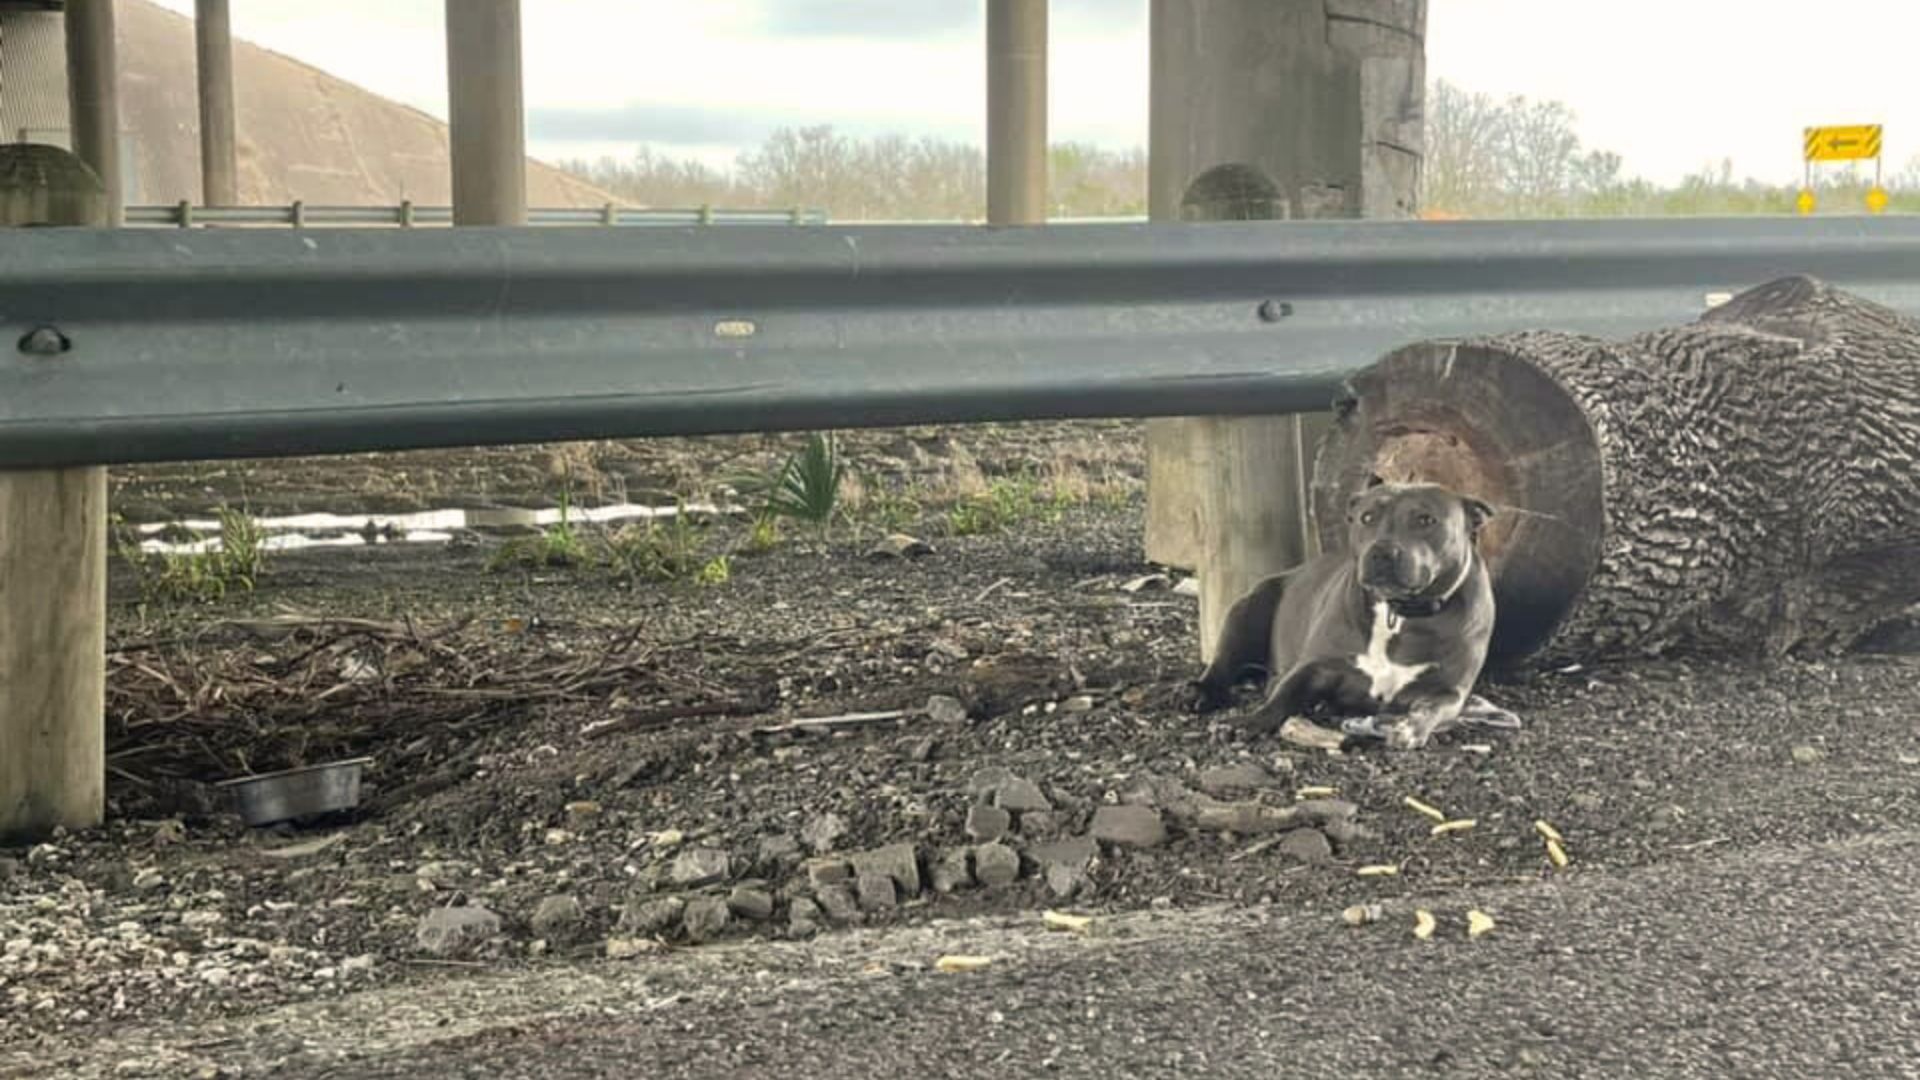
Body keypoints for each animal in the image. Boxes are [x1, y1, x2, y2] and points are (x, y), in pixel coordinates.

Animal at [1182, 478, 1512, 749]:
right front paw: (1249, 721)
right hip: (1247, 610)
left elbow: (1429, 708)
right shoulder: (1314, 667)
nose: (1382, 551)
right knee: (1222, 664)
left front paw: (1408, 728)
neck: (1397, 613)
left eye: (1425, 519)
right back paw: (1203, 694)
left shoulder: (1449, 690)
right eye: (1367, 517)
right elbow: (1282, 696)